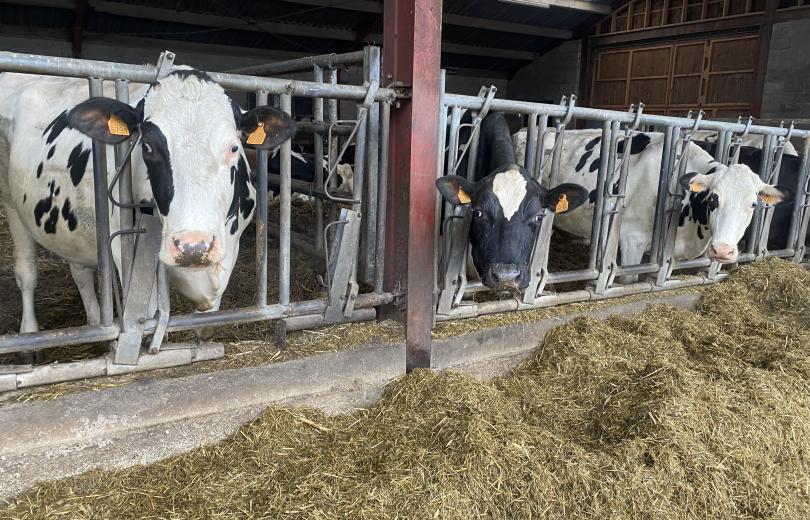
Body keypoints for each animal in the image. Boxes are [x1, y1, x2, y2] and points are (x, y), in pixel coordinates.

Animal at [0, 67, 296, 336]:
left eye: (234, 147)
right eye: (147, 147)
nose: (193, 246)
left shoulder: (228, 250)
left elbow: (207, 316)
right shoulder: (127, 251)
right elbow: (146, 312)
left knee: (80, 271)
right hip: (11, 203)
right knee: (27, 273)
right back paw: (29, 335)